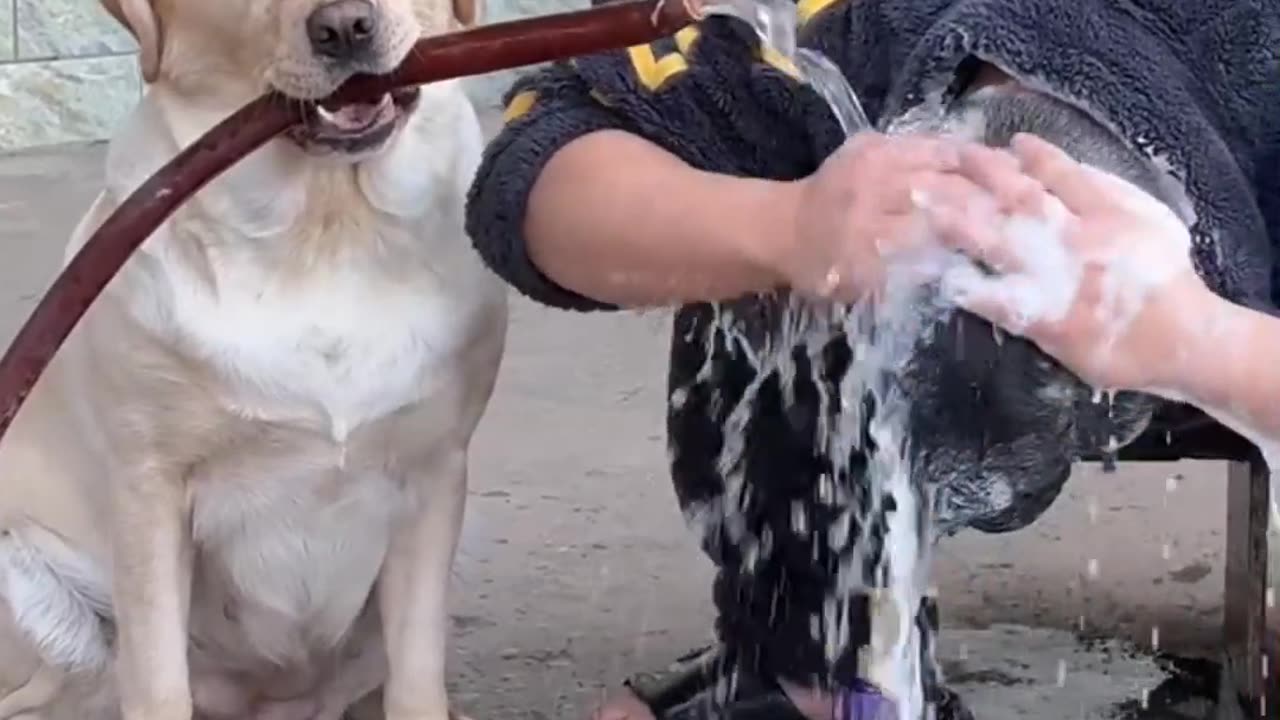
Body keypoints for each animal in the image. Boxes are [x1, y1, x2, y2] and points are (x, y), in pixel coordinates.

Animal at [0, 0, 509, 712]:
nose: (345, 28)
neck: (325, 233)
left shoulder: (434, 475)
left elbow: (416, 681)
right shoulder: (148, 487)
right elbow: (157, 684)